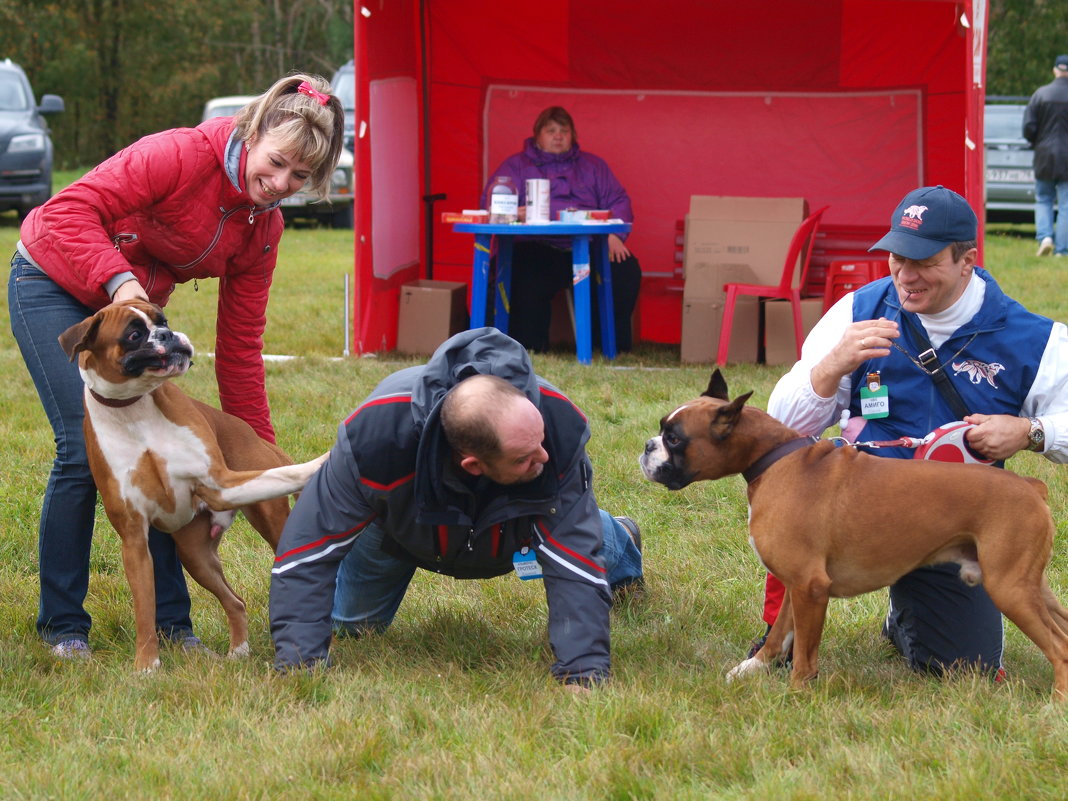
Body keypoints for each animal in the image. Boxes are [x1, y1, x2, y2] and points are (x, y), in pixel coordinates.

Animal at [57, 299, 324, 670]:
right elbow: (145, 609)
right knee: (235, 601)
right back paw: (239, 651)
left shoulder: (221, 484)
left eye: (163, 320)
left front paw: (321, 462)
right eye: (134, 334)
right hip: (196, 557)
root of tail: (254, 434)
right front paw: (147, 666)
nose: (167, 334)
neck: (133, 409)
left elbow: (287, 475)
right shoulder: (134, 540)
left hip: (270, 523)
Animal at [636, 369, 1068, 700]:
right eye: (662, 431)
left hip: (1010, 589)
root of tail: (1030, 486)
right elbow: (781, 632)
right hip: (1030, 586)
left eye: (674, 438)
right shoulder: (797, 584)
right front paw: (753, 668)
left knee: (1059, 648)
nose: (647, 445)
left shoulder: (810, 587)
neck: (775, 458)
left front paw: (798, 693)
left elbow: (805, 651)